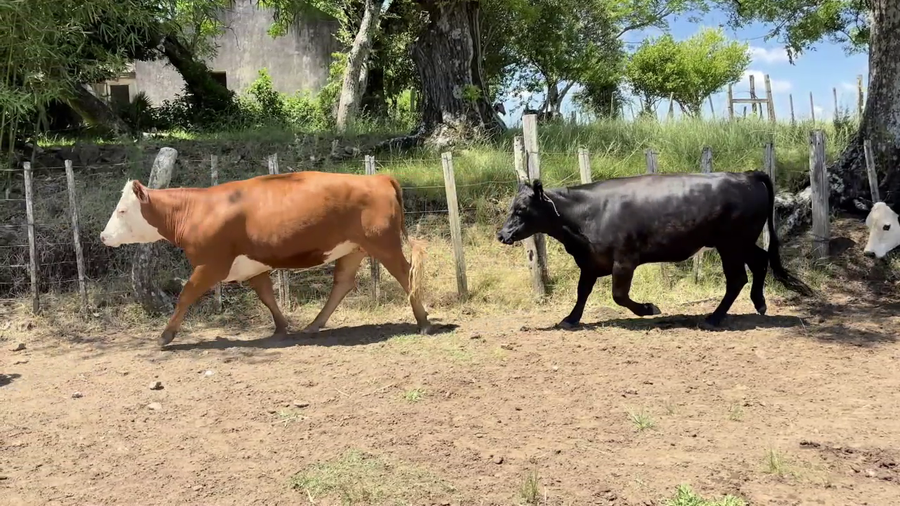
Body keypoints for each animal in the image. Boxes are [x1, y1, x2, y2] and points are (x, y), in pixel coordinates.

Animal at [100, 171, 433, 347]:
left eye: (122, 210)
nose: (103, 237)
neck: (197, 210)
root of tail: (377, 177)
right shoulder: (251, 265)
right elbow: (266, 295)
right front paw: (282, 327)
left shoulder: (211, 265)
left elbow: (185, 295)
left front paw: (166, 335)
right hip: (353, 249)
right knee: (342, 283)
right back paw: (314, 325)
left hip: (384, 245)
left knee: (406, 275)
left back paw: (424, 322)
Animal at [496, 171, 814, 329]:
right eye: (512, 207)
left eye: (522, 210)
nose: (502, 234)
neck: (586, 214)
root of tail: (747, 174)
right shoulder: (590, 262)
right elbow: (582, 292)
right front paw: (571, 319)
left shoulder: (624, 261)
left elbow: (619, 295)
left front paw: (649, 308)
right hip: (741, 243)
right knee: (760, 261)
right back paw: (759, 303)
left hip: (731, 244)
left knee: (737, 278)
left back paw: (714, 318)